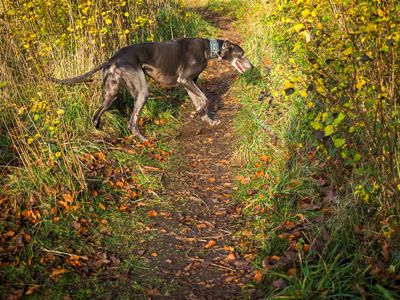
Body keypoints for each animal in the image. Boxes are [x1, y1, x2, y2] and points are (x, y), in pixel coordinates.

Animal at [51, 38, 252, 141]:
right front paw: (199, 114)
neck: (207, 48)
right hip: (141, 92)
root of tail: (113, 58)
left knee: (96, 116)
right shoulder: (185, 79)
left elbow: (201, 101)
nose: (252, 66)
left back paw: (101, 132)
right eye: (242, 54)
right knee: (132, 122)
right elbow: (206, 99)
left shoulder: (189, 83)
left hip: (110, 94)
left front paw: (207, 119)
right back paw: (144, 140)